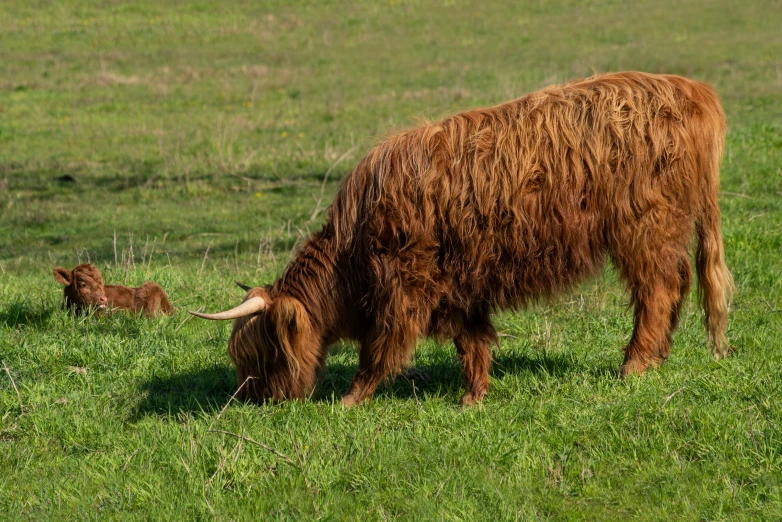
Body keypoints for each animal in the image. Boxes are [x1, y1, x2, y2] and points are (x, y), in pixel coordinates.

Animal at [190, 71, 736, 404]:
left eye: (261, 354)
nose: (252, 400)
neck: (353, 256)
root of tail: (690, 90)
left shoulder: (407, 286)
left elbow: (382, 349)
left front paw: (350, 398)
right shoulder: (460, 286)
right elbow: (471, 340)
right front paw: (473, 395)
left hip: (642, 226)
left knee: (656, 290)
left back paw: (635, 364)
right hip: (666, 229)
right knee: (679, 282)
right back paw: (659, 356)